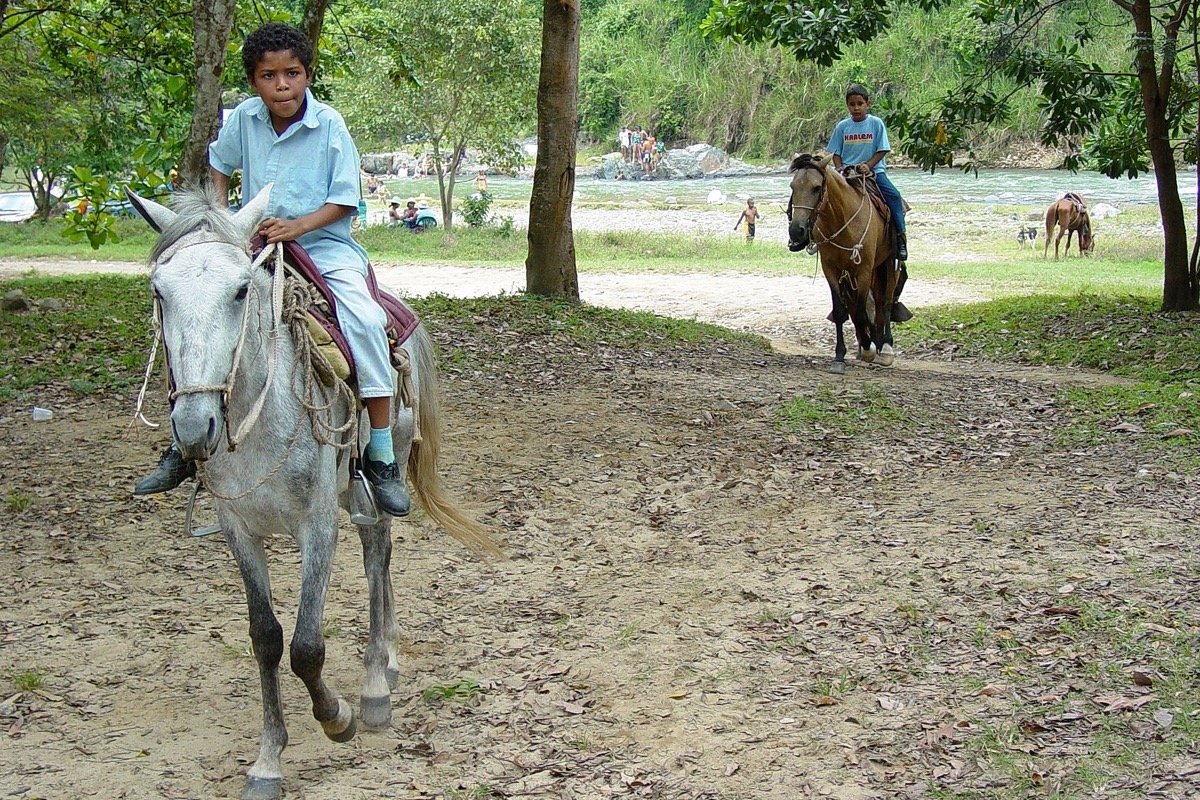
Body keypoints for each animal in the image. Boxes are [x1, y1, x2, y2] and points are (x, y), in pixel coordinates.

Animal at [126, 184, 500, 800]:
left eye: (241, 289)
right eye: (160, 291)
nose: (195, 427)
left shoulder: (317, 525)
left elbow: (306, 646)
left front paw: (336, 717)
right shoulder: (238, 531)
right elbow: (266, 637)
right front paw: (267, 761)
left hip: (372, 488)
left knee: (377, 557)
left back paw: (375, 684)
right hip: (350, 494)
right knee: (380, 561)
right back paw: (387, 661)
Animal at [786, 153, 907, 373]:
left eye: (817, 187)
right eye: (793, 186)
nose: (796, 231)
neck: (842, 219)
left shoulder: (864, 270)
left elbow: (859, 313)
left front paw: (868, 349)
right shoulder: (831, 270)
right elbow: (841, 311)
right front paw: (840, 357)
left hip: (889, 263)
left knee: (885, 302)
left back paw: (885, 348)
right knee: (873, 303)